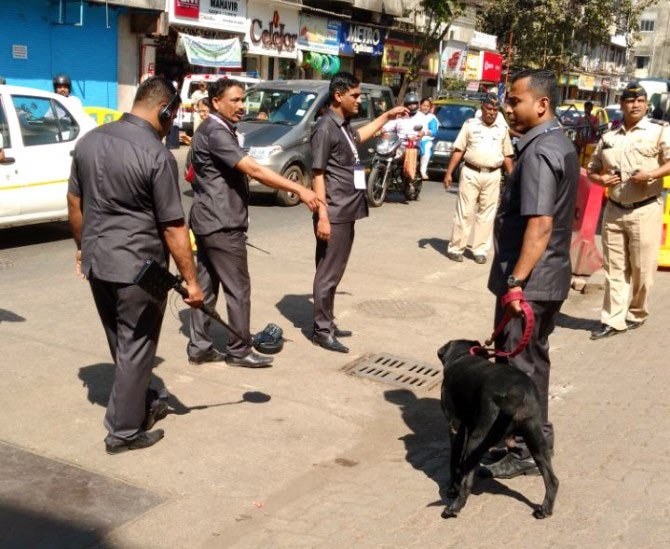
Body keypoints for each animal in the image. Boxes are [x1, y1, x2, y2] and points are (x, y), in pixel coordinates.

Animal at [438, 338, 560, 520]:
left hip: (476, 440)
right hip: (536, 439)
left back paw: (453, 508)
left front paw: (452, 488)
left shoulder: (455, 427)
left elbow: (454, 462)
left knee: (467, 482)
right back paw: (545, 509)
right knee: (552, 479)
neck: (462, 355)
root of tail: (517, 389)